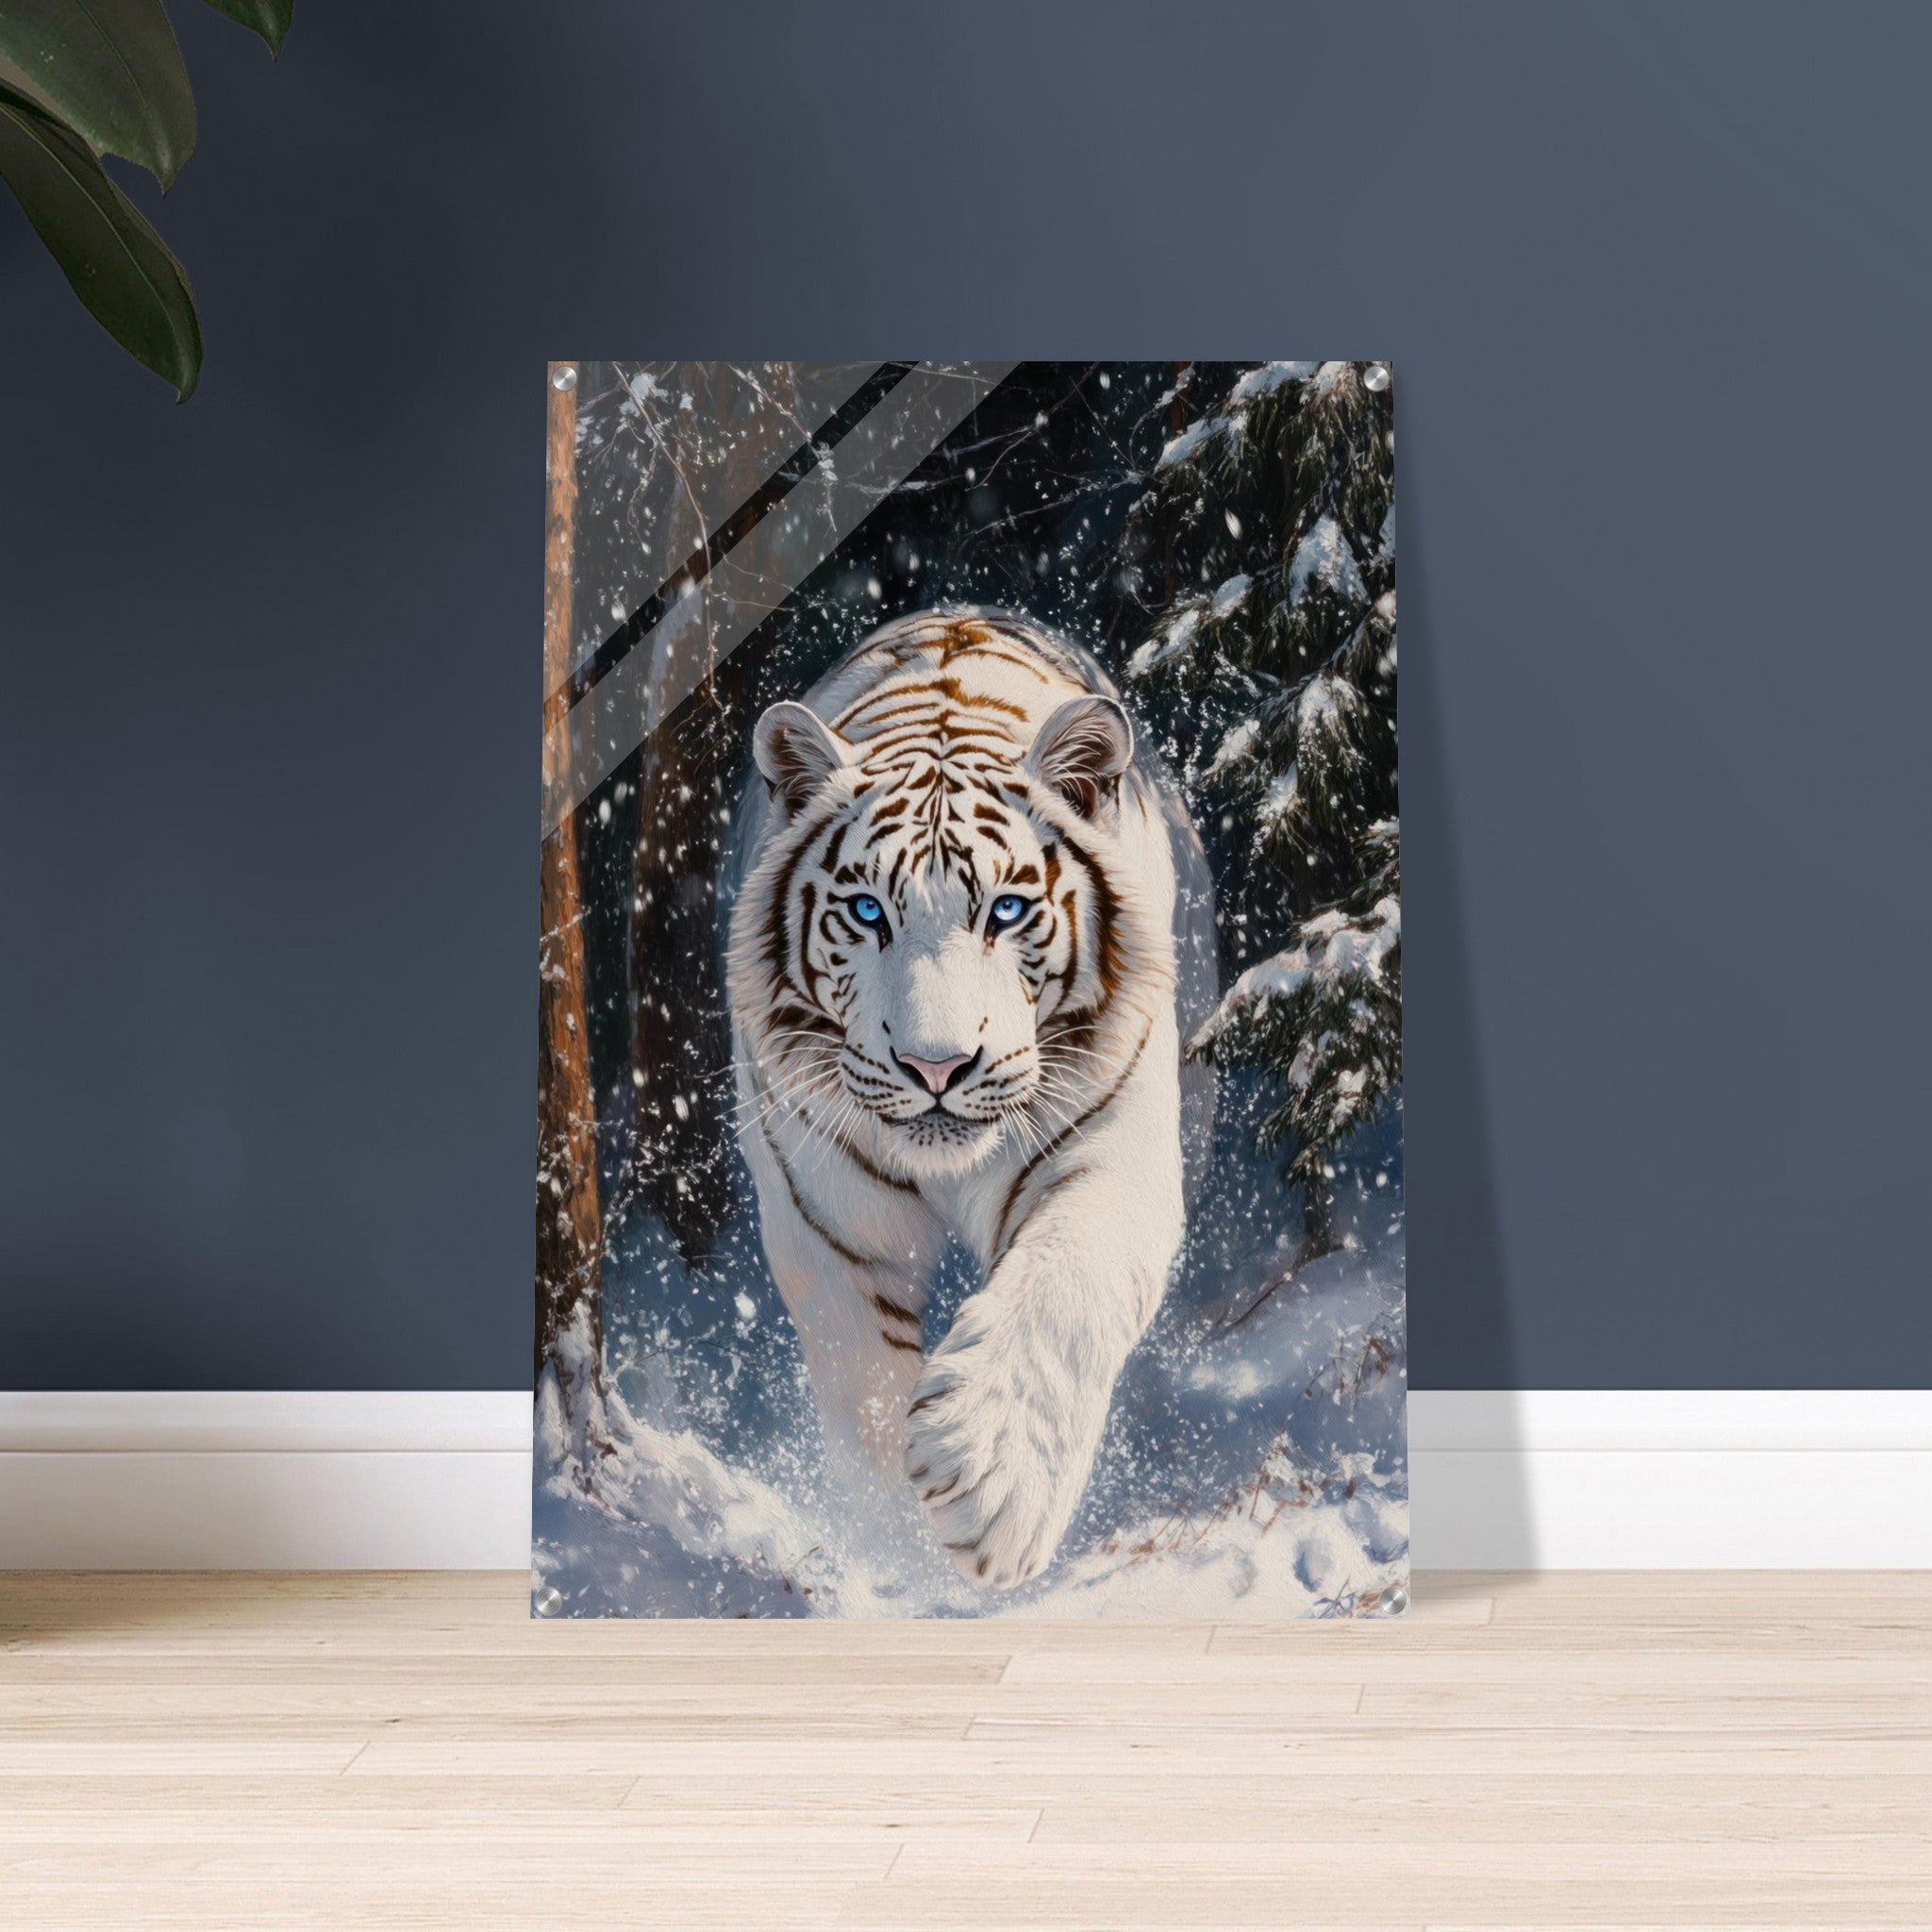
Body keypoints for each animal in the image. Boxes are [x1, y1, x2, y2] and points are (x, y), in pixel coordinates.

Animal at [725, 607, 1206, 1589]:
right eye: (867, 912)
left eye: (1008, 911)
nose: (936, 1066)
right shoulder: (824, 1214)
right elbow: (859, 1379)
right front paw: (897, 1546)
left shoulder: (1113, 1152)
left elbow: (1067, 1288)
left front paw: (990, 1481)